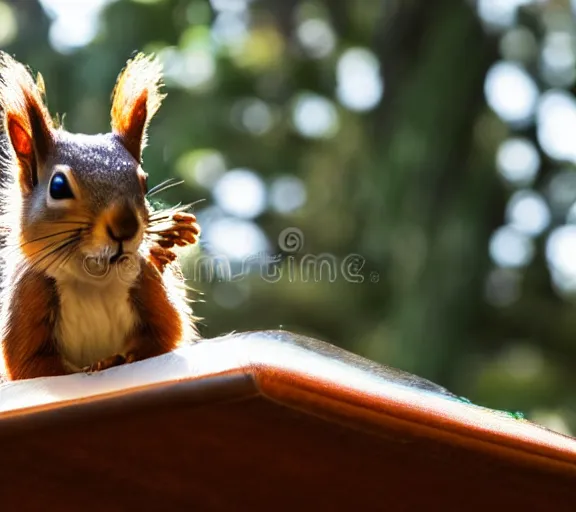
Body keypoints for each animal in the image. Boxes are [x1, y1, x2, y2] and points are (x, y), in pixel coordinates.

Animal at [0, 52, 201, 380]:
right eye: (58, 186)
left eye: (144, 181)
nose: (125, 226)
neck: (93, 279)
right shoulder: (30, 294)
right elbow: (33, 365)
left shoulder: (145, 281)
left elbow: (163, 338)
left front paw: (112, 360)